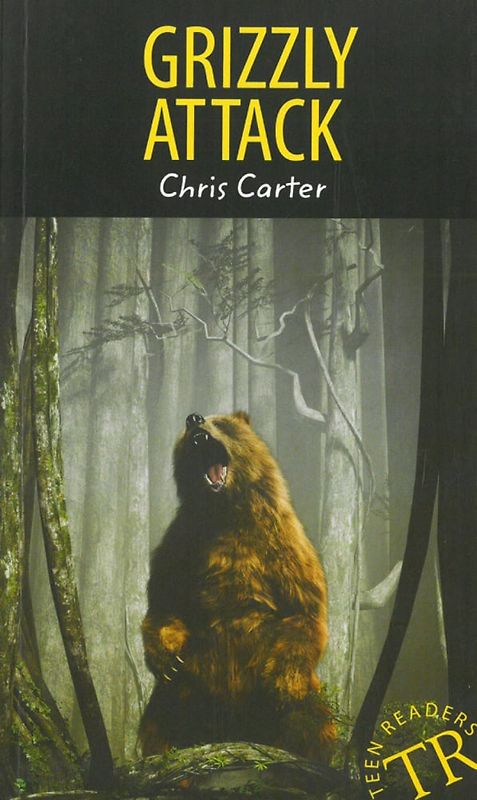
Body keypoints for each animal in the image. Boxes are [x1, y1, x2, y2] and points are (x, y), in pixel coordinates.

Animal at [139, 411, 335, 761]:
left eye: (220, 422)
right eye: (188, 427)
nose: (193, 418)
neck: (224, 510)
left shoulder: (283, 543)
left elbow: (304, 608)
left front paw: (282, 684)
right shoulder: (181, 543)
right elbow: (164, 603)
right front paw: (167, 657)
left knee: (312, 720)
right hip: (186, 690)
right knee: (161, 718)